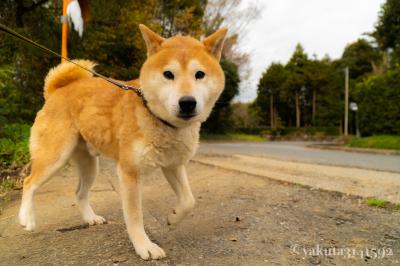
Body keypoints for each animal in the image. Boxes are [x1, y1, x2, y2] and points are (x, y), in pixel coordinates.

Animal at [18, 25, 228, 260]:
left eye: (199, 74)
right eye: (168, 74)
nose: (188, 102)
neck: (157, 117)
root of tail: (55, 92)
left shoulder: (173, 164)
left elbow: (189, 201)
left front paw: (173, 218)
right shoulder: (129, 172)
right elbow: (135, 217)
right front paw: (145, 246)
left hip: (90, 166)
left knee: (79, 193)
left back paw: (90, 218)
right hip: (55, 157)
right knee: (29, 183)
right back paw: (27, 219)